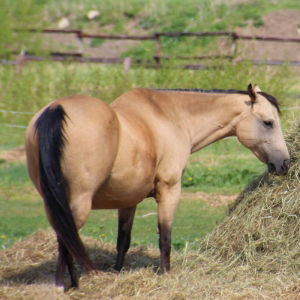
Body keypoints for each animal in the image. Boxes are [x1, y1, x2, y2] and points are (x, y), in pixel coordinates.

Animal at [25, 83, 288, 290]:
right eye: (268, 123)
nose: (284, 163)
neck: (170, 117)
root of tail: (55, 110)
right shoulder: (169, 190)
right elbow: (165, 238)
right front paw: (165, 274)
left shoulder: (128, 201)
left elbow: (123, 241)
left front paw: (117, 273)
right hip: (78, 204)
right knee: (66, 240)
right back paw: (62, 286)